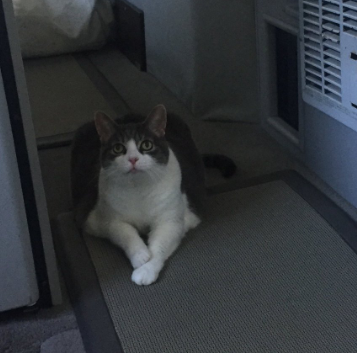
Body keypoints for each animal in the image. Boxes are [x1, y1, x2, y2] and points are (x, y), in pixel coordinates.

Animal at [70, 104, 235, 284]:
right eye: (118, 148)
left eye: (147, 145)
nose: (133, 159)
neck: (139, 188)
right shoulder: (101, 220)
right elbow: (126, 233)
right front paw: (140, 255)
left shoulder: (172, 221)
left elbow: (159, 246)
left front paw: (146, 270)